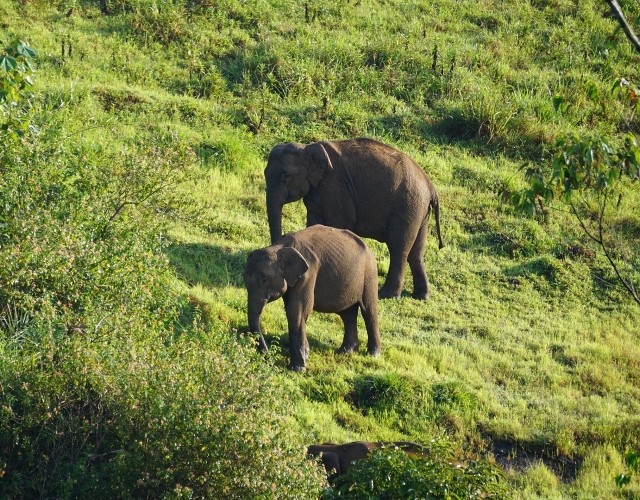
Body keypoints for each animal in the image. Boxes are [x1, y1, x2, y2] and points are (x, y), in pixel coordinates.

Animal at [243, 224, 380, 372]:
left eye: (264, 279)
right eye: (244, 279)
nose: (268, 354)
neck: (279, 247)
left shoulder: (308, 274)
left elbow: (297, 311)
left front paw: (297, 369)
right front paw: (306, 355)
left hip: (369, 274)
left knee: (369, 311)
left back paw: (374, 354)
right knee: (347, 314)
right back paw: (345, 351)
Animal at [264, 137, 444, 300]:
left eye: (287, 176)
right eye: (265, 174)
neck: (307, 147)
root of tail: (431, 187)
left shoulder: (336, 188)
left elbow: (338, 224)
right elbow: (314, 223)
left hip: (407, 207)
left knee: (399, 248)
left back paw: (387, 295)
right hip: (419, 211)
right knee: (417, 251)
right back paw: (421, 296)